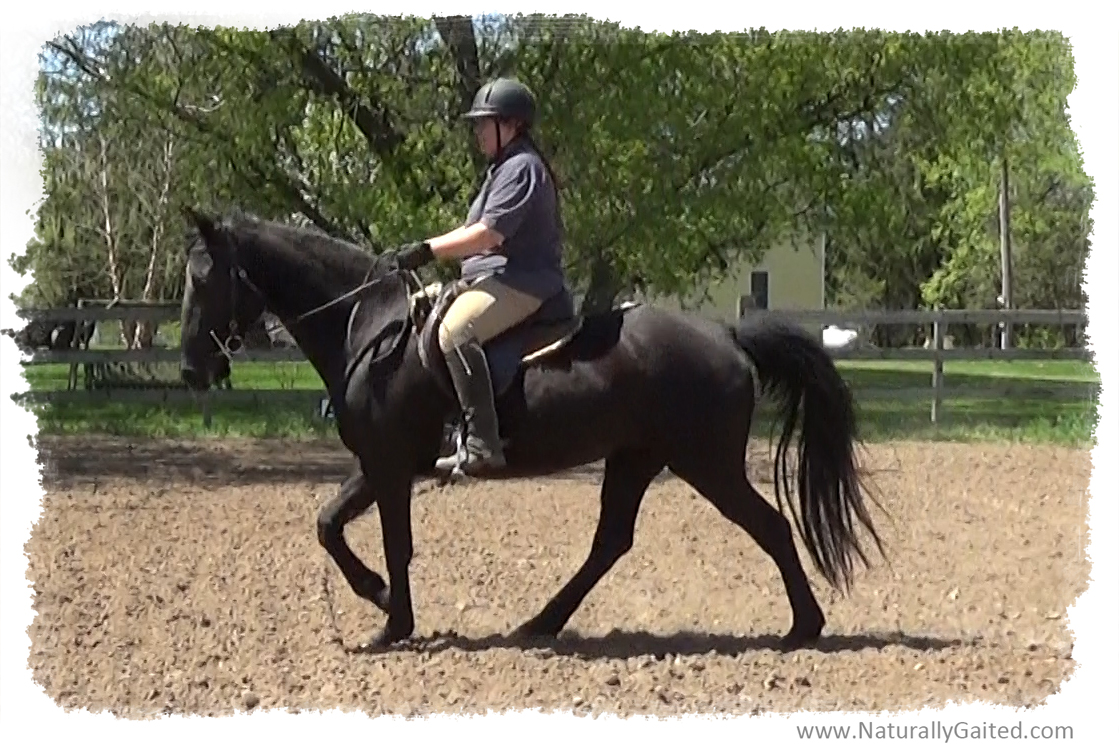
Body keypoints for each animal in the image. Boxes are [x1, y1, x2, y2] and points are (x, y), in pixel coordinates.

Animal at [178, 208, 885, 650]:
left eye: (205, 278)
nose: (191, 369)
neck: (370, 327)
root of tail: (726, 336)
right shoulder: (379, 464)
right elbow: (328, 524)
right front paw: (379, 599)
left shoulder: (389, 466)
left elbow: (392, 543)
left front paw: (390, 620)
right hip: (636, 459)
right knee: (611, 544)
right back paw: (541, 623)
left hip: (705, 464)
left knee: (769, 526)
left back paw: (803, 627)